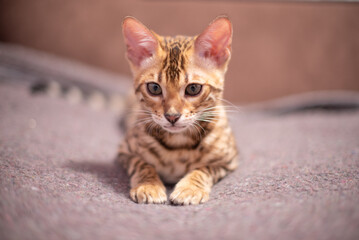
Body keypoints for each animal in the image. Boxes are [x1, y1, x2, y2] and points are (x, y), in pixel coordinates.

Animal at [118, 16, 240, 204]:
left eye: (193, 88)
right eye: (154, 88)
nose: (172, 116)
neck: (178, 144)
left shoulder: (228, 160)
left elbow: (204, 169)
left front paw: (190, 188)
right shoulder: (124, 151)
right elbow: (142, 164)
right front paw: (149, 185)